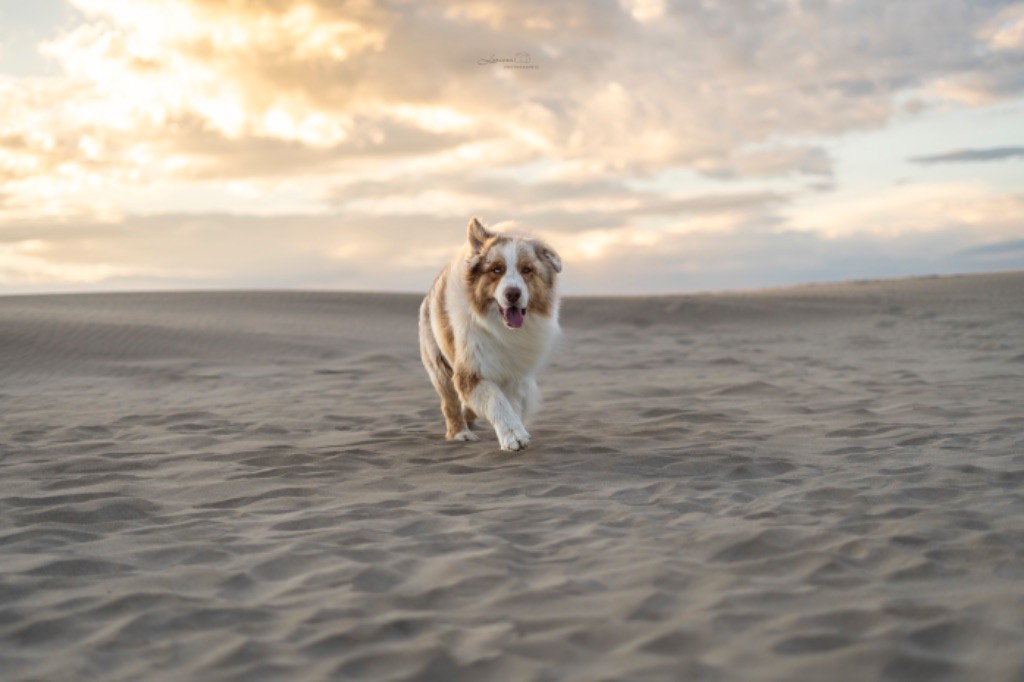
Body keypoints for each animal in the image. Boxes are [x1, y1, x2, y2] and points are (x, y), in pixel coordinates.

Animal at [419, 218, 565, 448]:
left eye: (527, 270)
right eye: (496, 270)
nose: (513, 293)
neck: (502, 329)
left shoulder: (516, 375)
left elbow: (511, 405)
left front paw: (517, 429)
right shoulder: (470, 371)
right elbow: (496, 400)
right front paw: (513, 435)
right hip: (438, 365)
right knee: (449, 403)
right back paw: (460, 433)